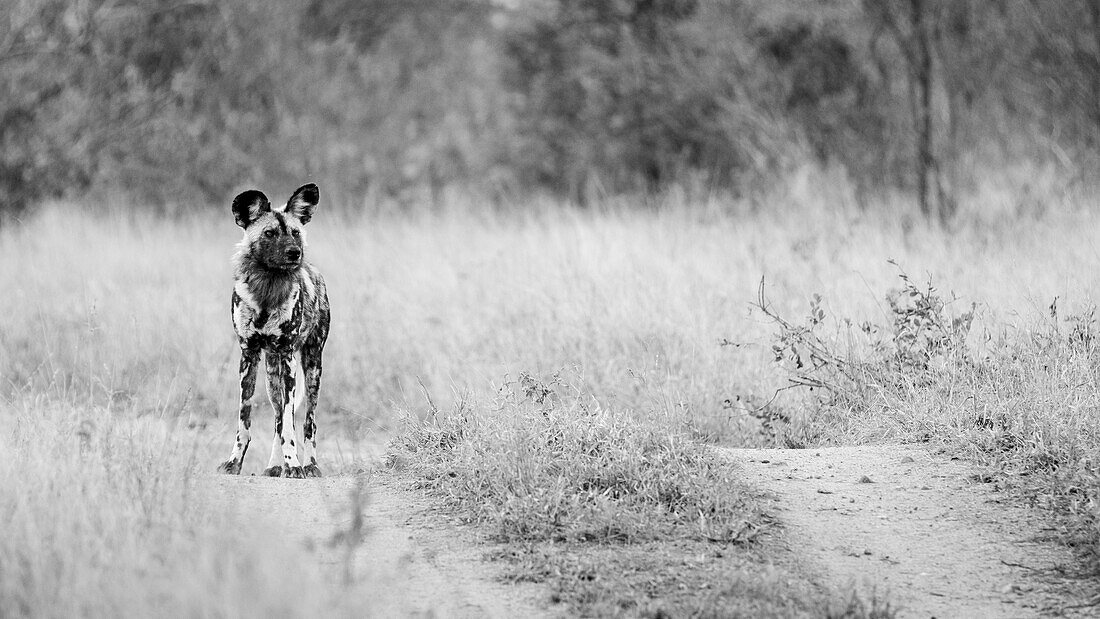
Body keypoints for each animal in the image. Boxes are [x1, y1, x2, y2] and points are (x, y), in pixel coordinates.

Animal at [217, 183, 327, 479]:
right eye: (269, 233)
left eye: (295, 232)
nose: (294, 253)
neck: (267, 289)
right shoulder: (249, 356)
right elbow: (245, 422)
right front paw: (234, 462)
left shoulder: (288, 357)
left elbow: (290, 424)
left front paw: (294, 464)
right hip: (271, 375)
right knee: (278, 419)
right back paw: (275, 466)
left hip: (311, 368)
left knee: (307, 422)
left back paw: (309, 465)